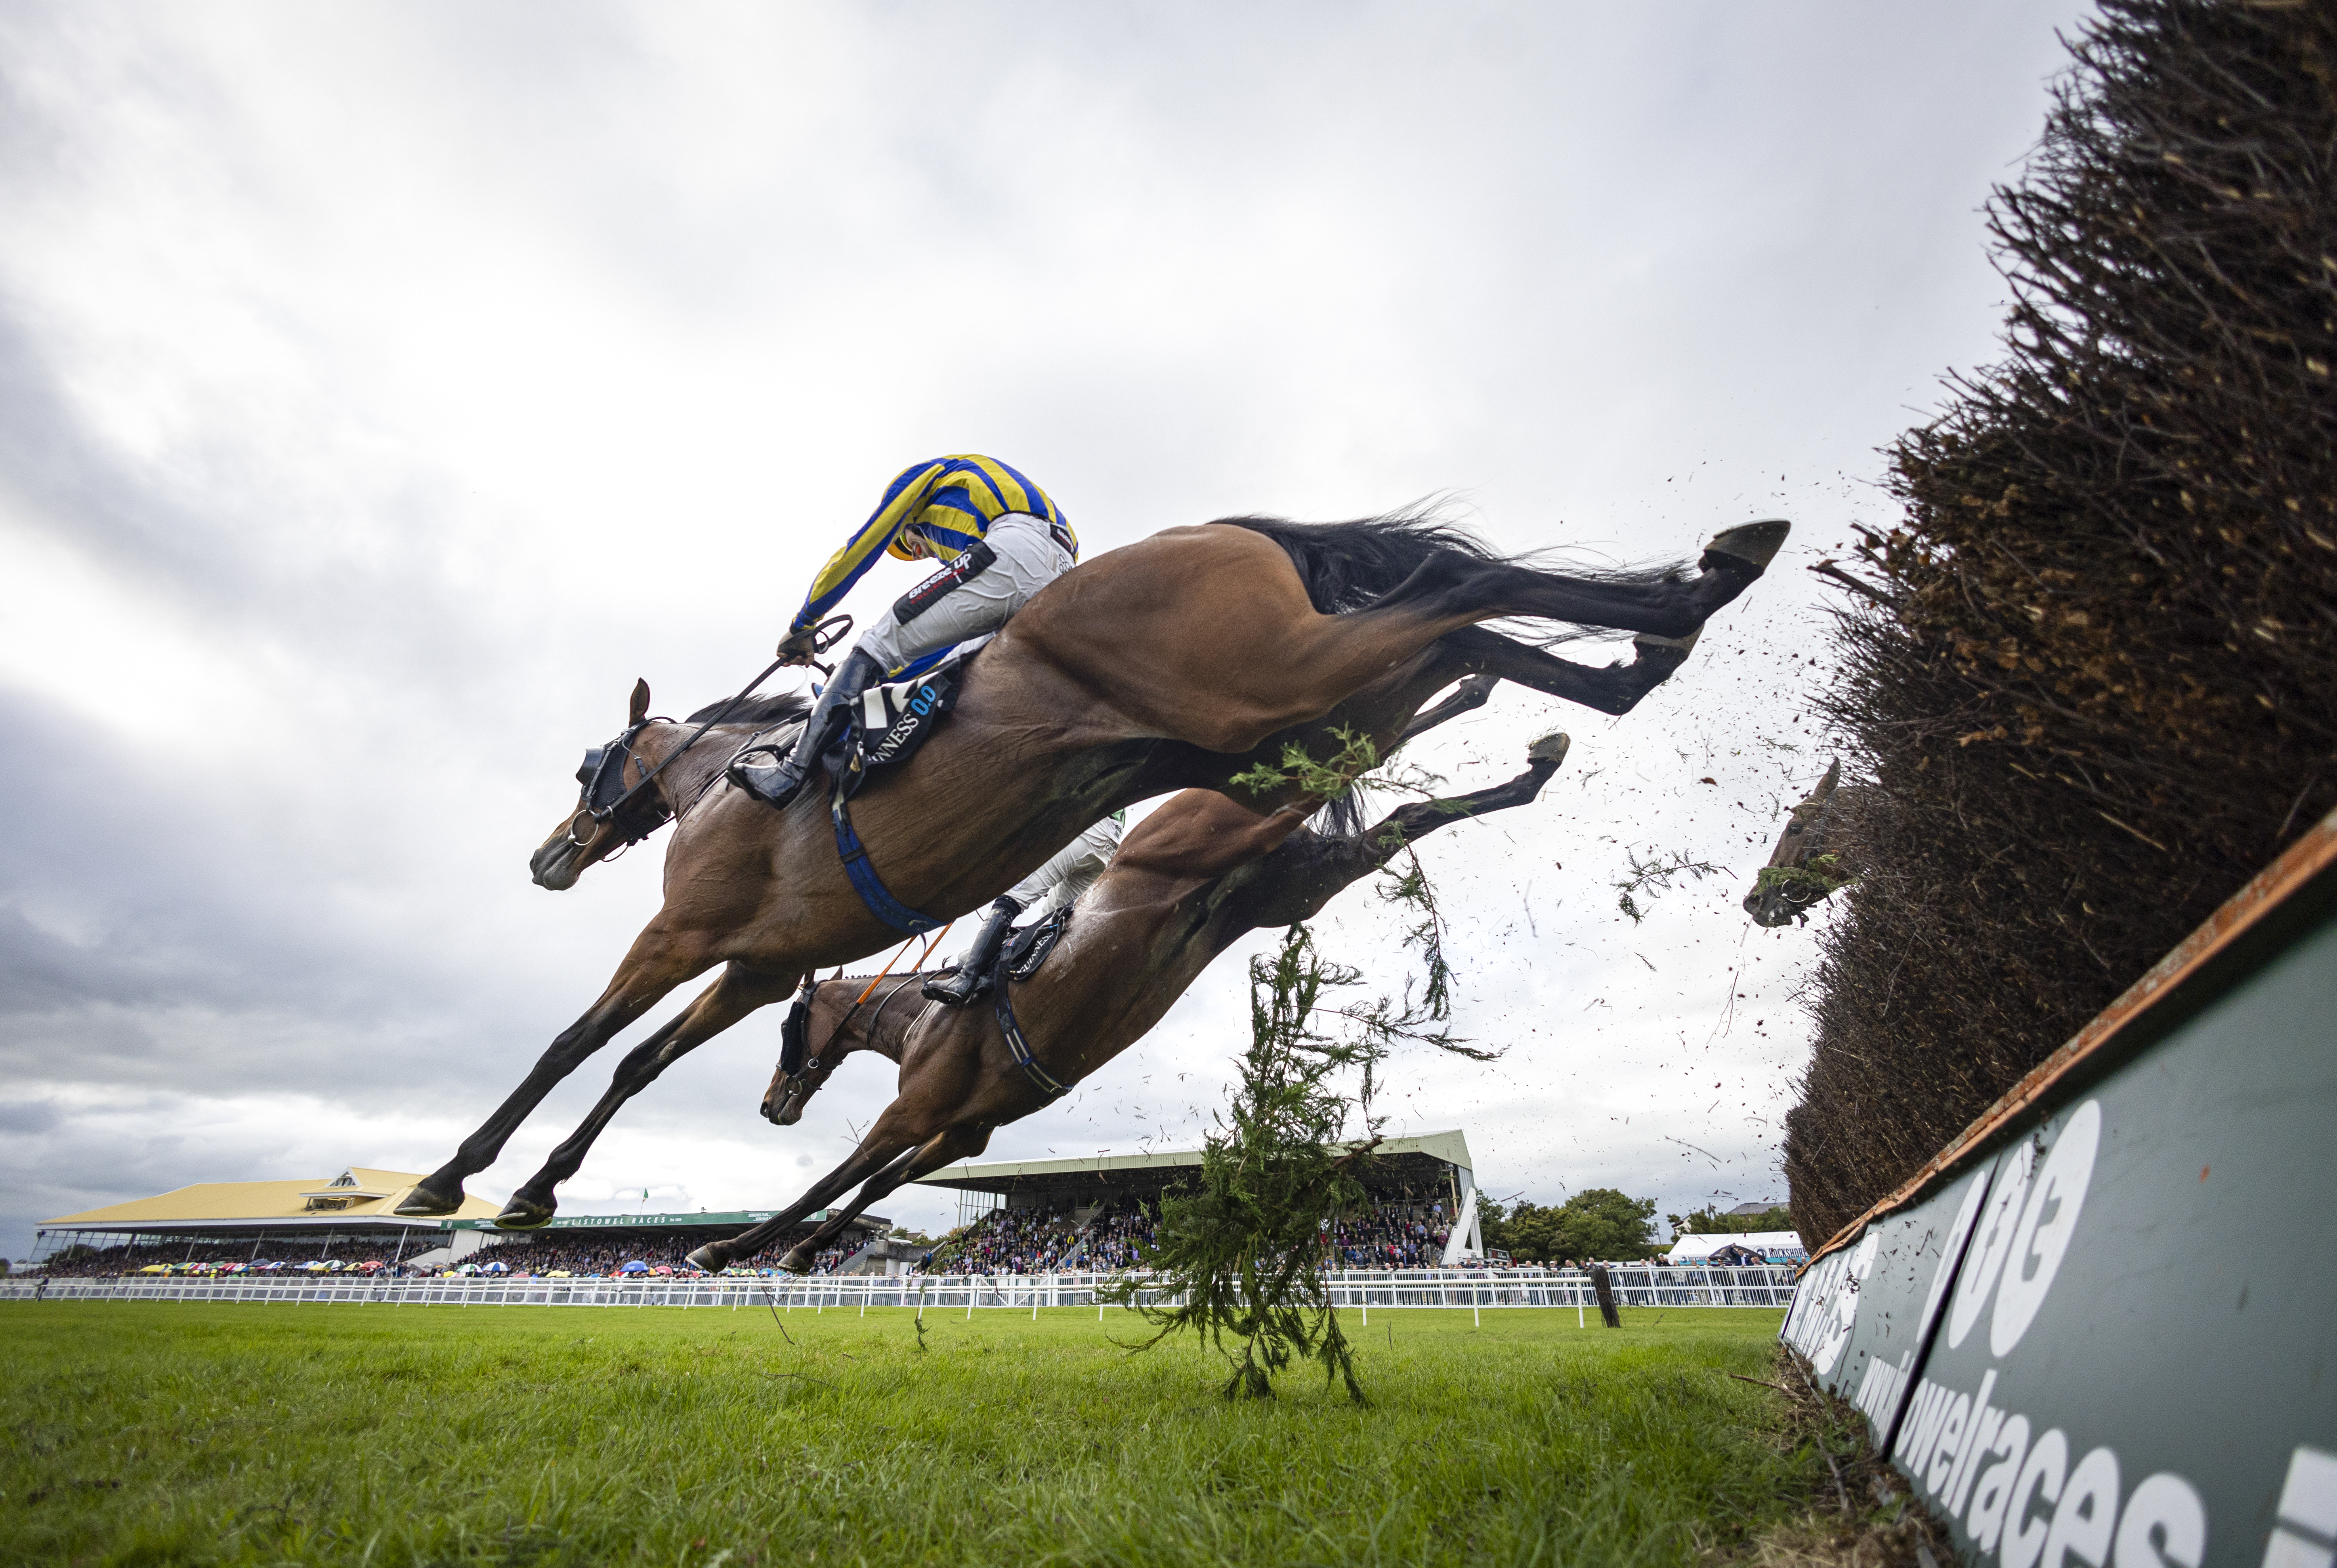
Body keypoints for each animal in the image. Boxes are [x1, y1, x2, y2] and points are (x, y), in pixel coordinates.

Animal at [397, 514, 1785, 1224]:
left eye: (591, 762)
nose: (549, 855)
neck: (726, 783)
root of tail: (1228, 528)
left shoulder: (686, 936)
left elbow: (574, 1041)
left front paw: (454, 1178)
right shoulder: (759, 960)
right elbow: (641, 1061)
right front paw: (533, 1193)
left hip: (1263, 687)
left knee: (1455, 591)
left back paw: (1694, 593)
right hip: (1280, 730)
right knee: (1462, 646)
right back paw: (1644, 646)